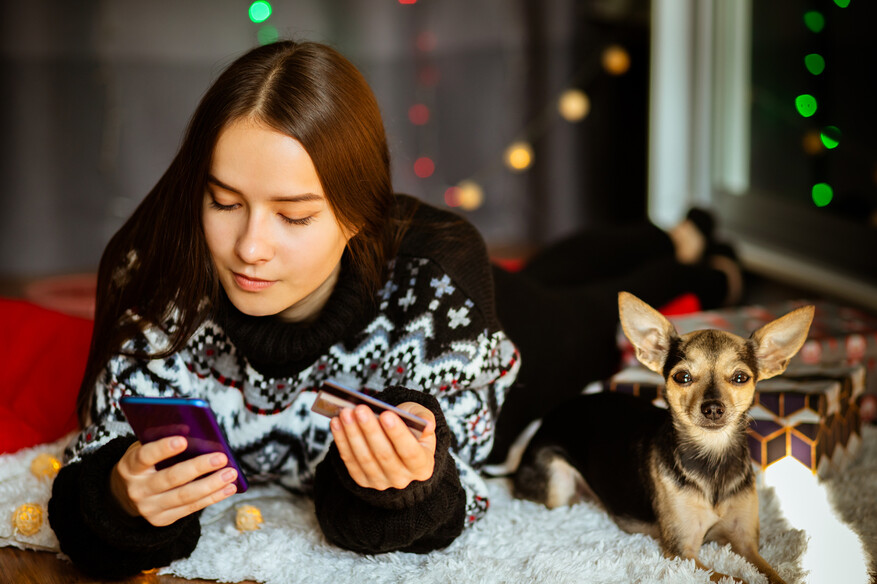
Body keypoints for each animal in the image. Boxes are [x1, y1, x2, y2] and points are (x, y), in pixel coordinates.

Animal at [512, 292, 816, 584]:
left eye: (740, 378)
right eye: (682, 377)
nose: (713, 408)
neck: (712, 457)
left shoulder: (746, 543)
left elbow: (774, 575)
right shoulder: (684, 553)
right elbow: (738, 578)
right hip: (557, 483)